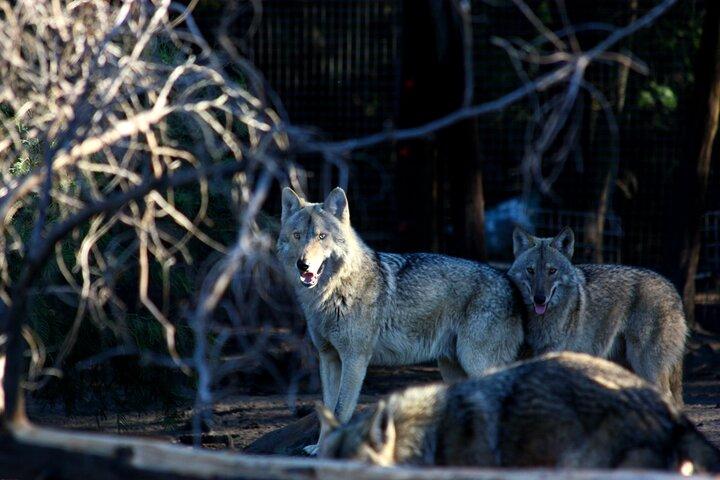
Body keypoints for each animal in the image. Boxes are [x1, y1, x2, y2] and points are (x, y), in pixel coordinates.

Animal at [277, 187, 524, 454]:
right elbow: (327, 411)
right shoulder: (328, 358)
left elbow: (341, 411)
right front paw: (320, 447)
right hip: (452, 369)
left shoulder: (355, 359)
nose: (303, 265)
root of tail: (509, 281)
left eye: (322, 236)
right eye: (297, 236)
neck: (332, 293)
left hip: (476, 363)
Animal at [507, 227, 687, 405]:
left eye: (552, 271)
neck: (542, 320)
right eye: (530, 270)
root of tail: (672, 289)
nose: (539, 299)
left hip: (644, 365)